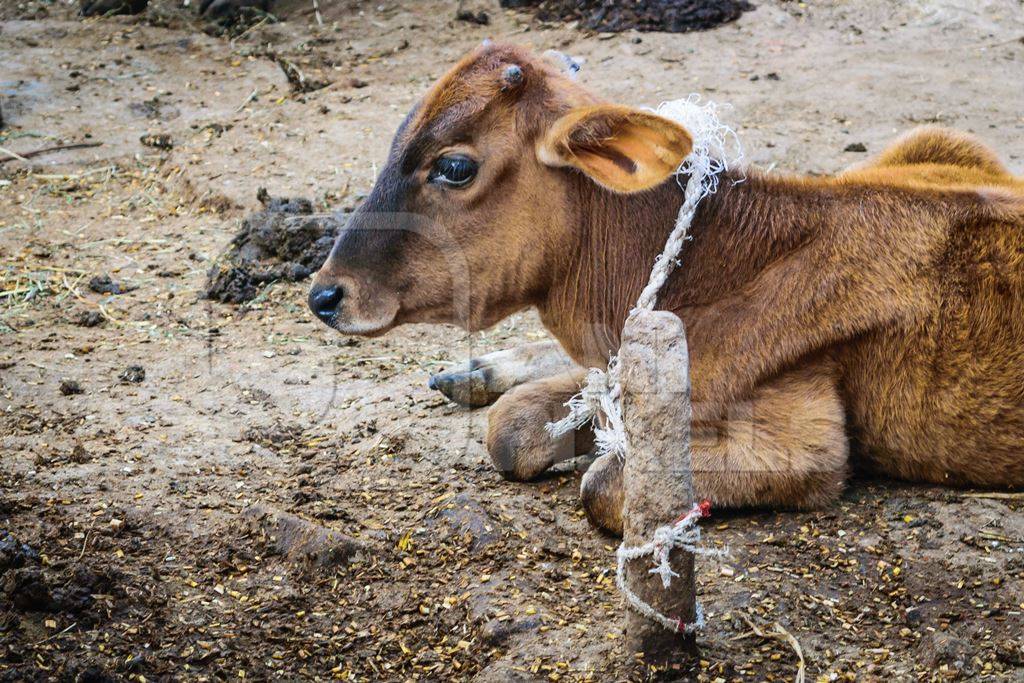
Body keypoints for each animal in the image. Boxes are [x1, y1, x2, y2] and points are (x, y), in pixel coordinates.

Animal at [309, 41, 1024, 532]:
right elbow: (510, 430)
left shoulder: (806, 443)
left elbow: (601, 483)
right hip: (936, 138)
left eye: (455, 167)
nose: (325, 295)